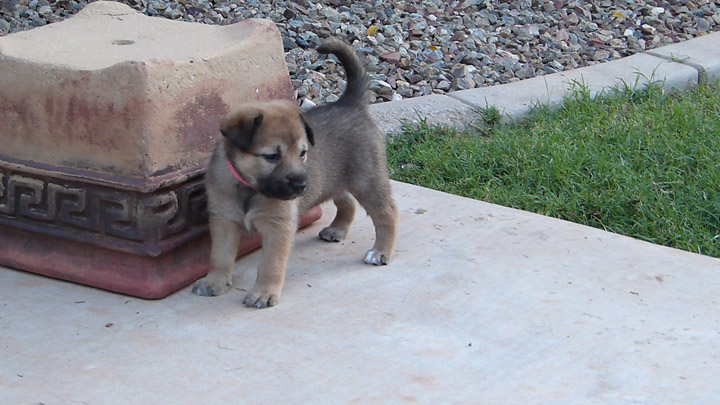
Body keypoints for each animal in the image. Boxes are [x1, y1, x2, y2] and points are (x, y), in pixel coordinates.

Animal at [191, 39, 400, 308]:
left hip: (367, 180)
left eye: (303, 153)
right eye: (272, 156)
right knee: (347, 202)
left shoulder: (277, 227)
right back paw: (337, 230)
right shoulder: (224, 220)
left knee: (387, 212)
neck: (249, 188)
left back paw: (381, 251)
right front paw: (214, 282)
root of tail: (349, 103)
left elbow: (270, 265)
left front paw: (263, 293)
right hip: (333, 179)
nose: (301, 186)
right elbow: (219, 256)